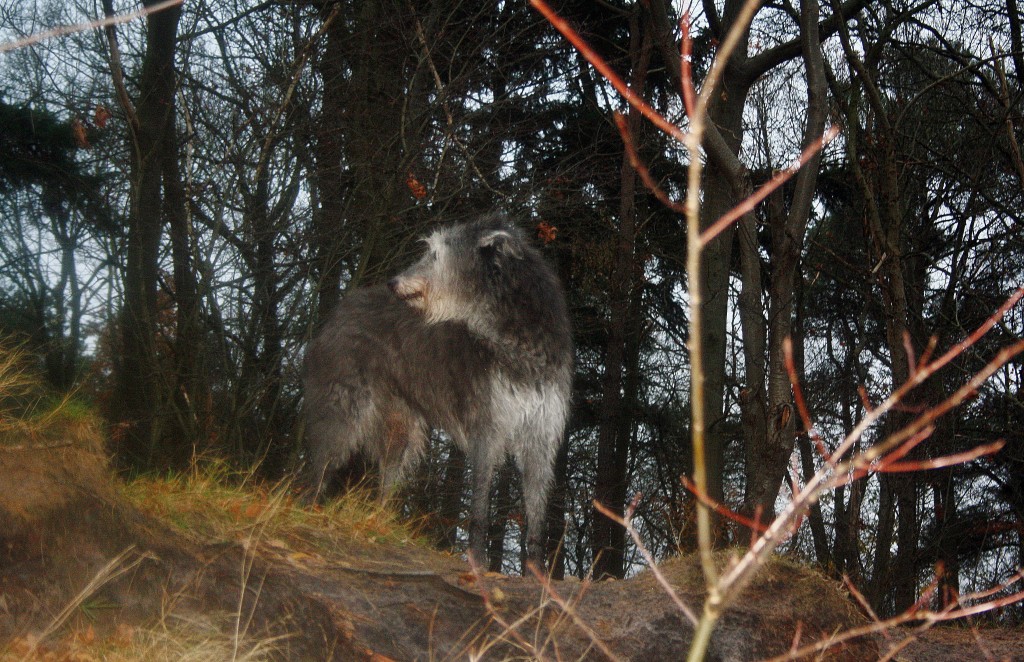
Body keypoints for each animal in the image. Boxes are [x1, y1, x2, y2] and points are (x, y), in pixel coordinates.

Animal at [301, 214, 573, 567]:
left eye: (435, 254)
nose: (393, 283)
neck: (518, 342)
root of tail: (342, 308)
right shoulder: (487, 429)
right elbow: (480, 507)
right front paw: (478, 562)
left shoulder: (540, 436)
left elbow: (537, 516)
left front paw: (536, 572)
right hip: (344, 410)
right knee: (320, 465)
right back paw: (308, 511)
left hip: (400, 429)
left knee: (387, 477)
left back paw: (378, 524)